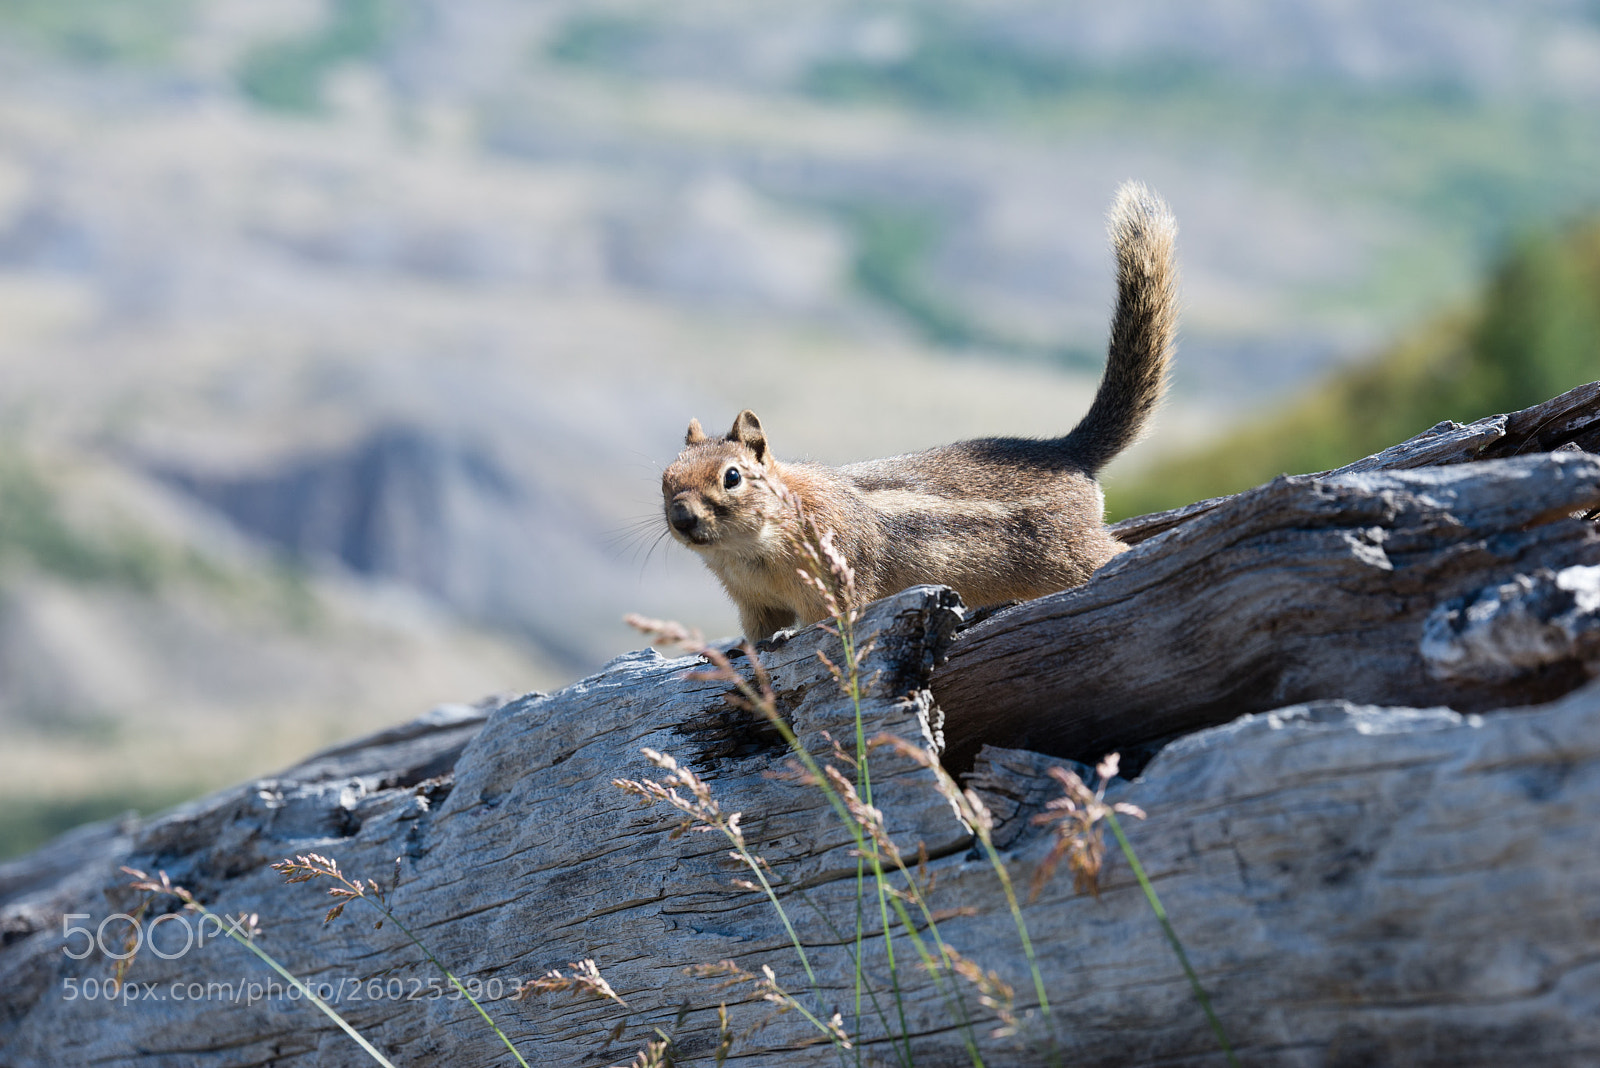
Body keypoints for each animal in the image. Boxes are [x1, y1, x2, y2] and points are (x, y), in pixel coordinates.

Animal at [661, 181, 1178, 641]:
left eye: (732, 476)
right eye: (665, 479)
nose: (681, 517)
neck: (751, 548)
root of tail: (1069, 450)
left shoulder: (838, 576)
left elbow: (831, 622)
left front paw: (792, 637)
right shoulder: (754, 602)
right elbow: (756, 637)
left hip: (1067, 554)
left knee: (1113, 552)